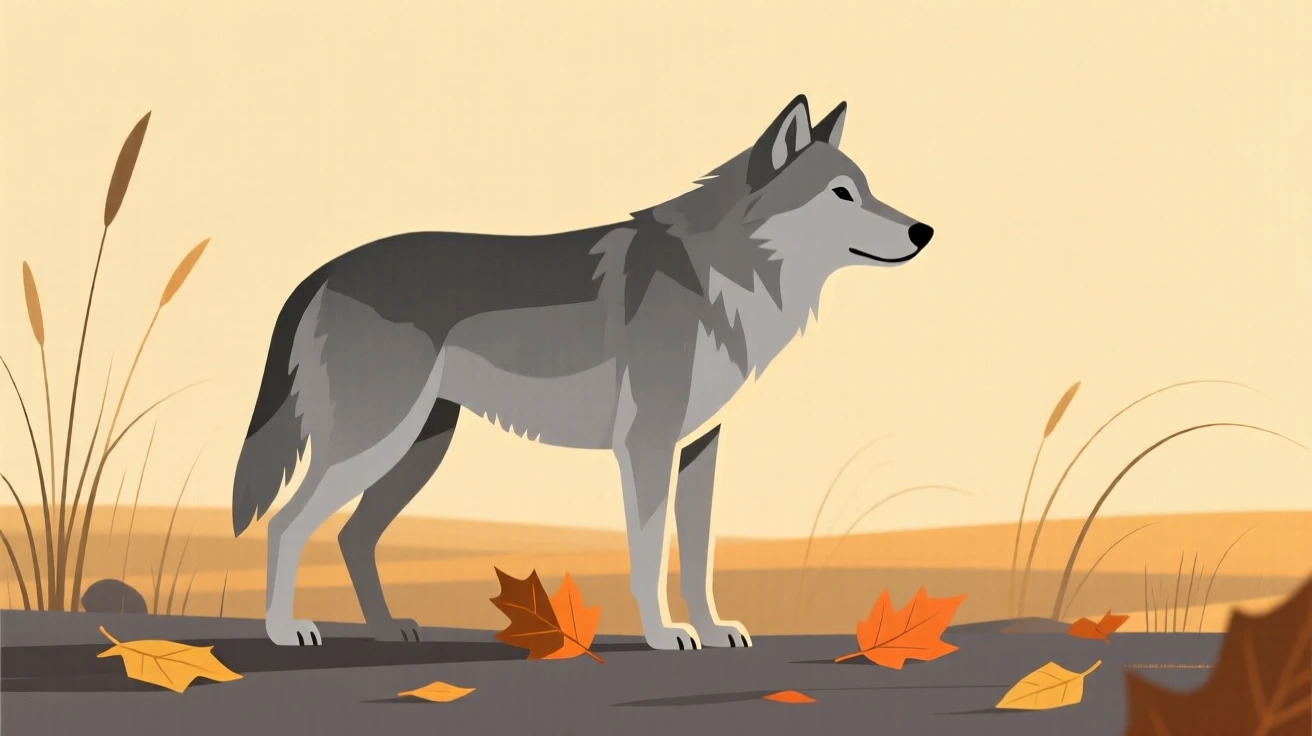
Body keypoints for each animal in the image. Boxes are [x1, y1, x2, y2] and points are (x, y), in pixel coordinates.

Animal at [231, 94, 933, 649]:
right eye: (841, 194)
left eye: (868, 190)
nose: (924, 231)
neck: (725, 274)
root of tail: (325, 270)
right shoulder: (646, 446)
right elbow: (649, 557)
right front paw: (665, 636)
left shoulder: (699, 448)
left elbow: (698, 557)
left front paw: (712, 630)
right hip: (374, 445)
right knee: (286, 526)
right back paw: (284, 630)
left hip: (415, 449)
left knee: (352, 537)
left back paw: (385, 628)